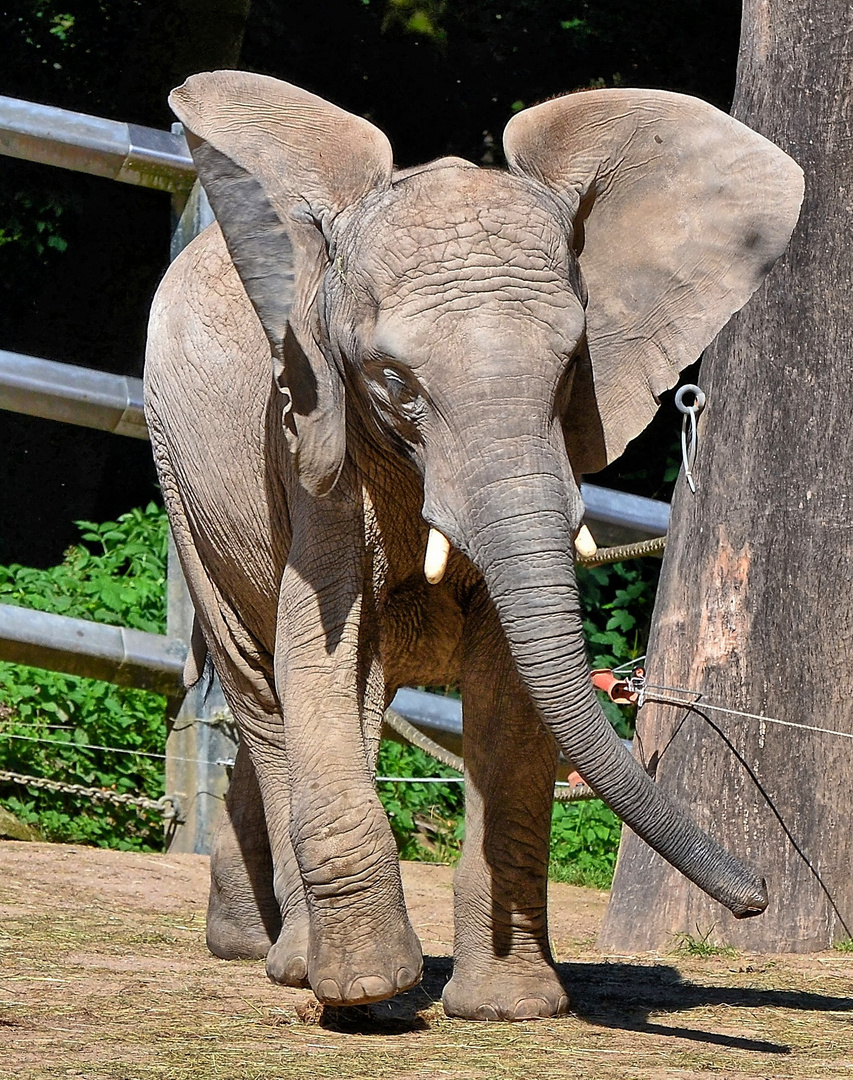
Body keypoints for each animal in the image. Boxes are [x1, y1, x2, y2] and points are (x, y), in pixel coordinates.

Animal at [143, 69, 803, 1019]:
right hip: (183, 482)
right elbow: (318, 656)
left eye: (570, 366)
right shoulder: (310, 435)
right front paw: (367, 993)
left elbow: (512, 695)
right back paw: (294, 965)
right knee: (262, 692)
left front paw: (509, 1007)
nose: (757, 895)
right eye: (392, 381)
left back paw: (247, 944)